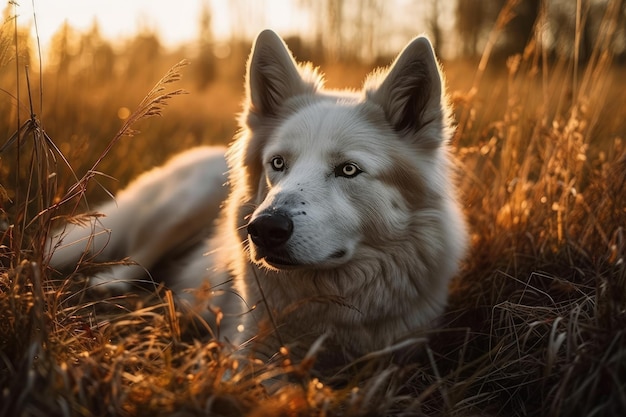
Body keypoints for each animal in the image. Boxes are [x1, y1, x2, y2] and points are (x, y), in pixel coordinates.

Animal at [47, 28, 464, 360]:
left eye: (348, 170)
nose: (264, 229)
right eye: (278, 163)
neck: (330, 302)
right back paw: (113, 284)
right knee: (138, 256)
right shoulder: (250, 350)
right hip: (185, 206)